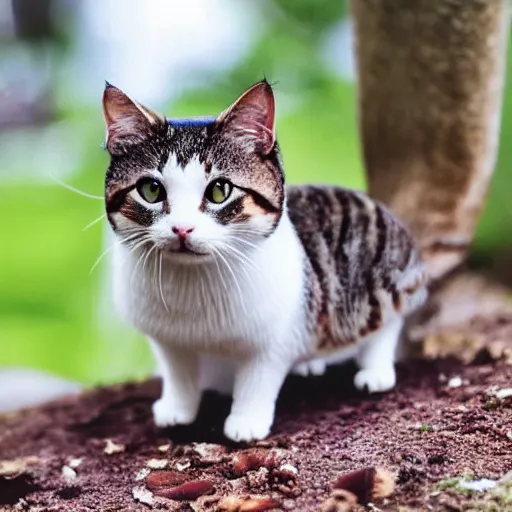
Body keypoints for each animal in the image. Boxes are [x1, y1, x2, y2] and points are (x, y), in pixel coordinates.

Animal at [102, 79, 426, 440]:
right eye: (151, 190)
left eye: (219, 191)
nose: (182, 228)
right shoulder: (168, 340)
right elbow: (179, 374)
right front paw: (178, 410)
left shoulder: (274, 339)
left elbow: (257, 381)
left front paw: (245, 422)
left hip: (387, 281)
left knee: (386, 324)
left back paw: (375, 370)